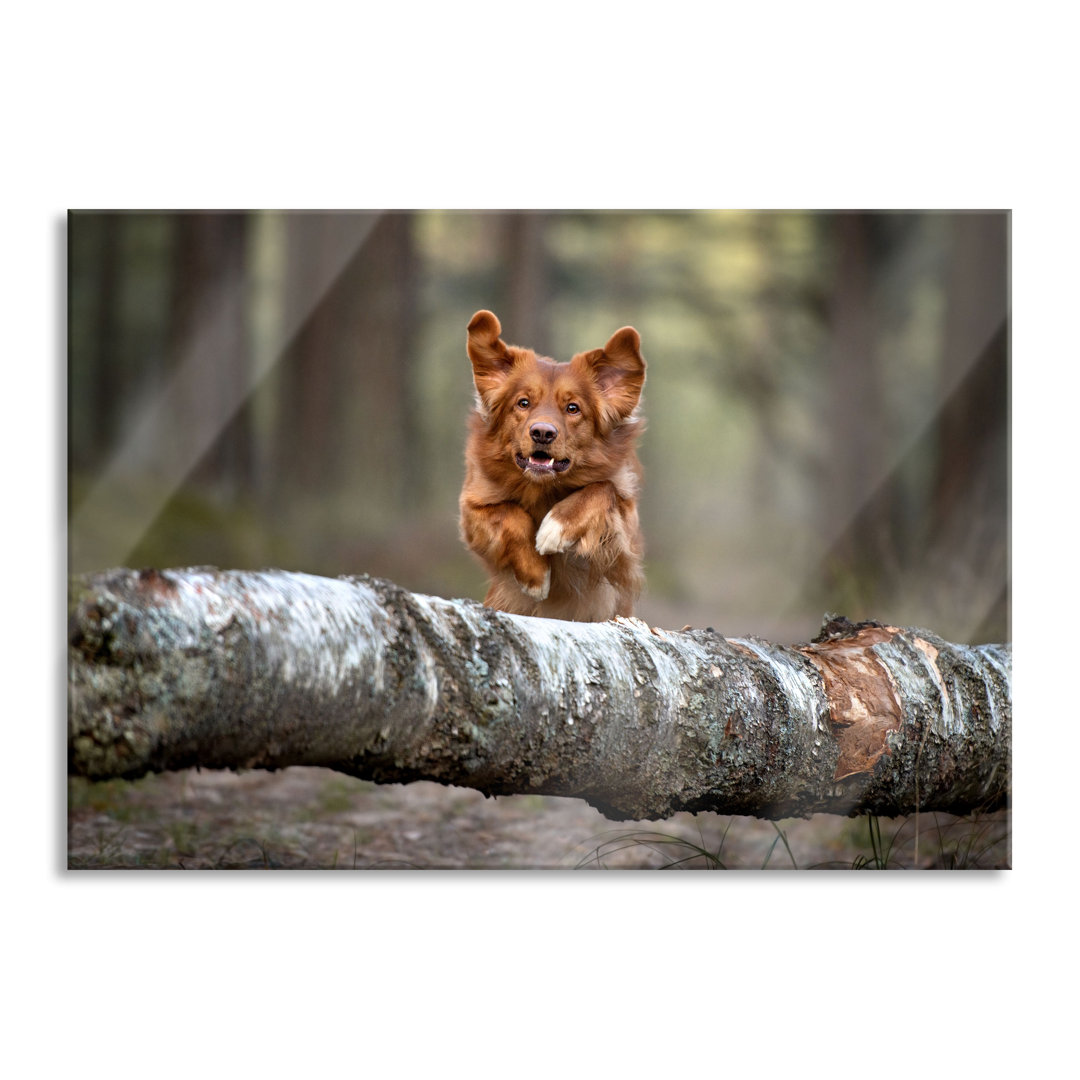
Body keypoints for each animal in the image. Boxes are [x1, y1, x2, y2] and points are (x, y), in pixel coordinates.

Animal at [460, 308, 643, 622]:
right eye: (523, 403)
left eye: (573, 408)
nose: (542, 433)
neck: (543, 488)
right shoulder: (472, 508)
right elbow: (510, 514)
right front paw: (536, 576)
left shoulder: (623, 547)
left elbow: (602, 488)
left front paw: (556, 527)